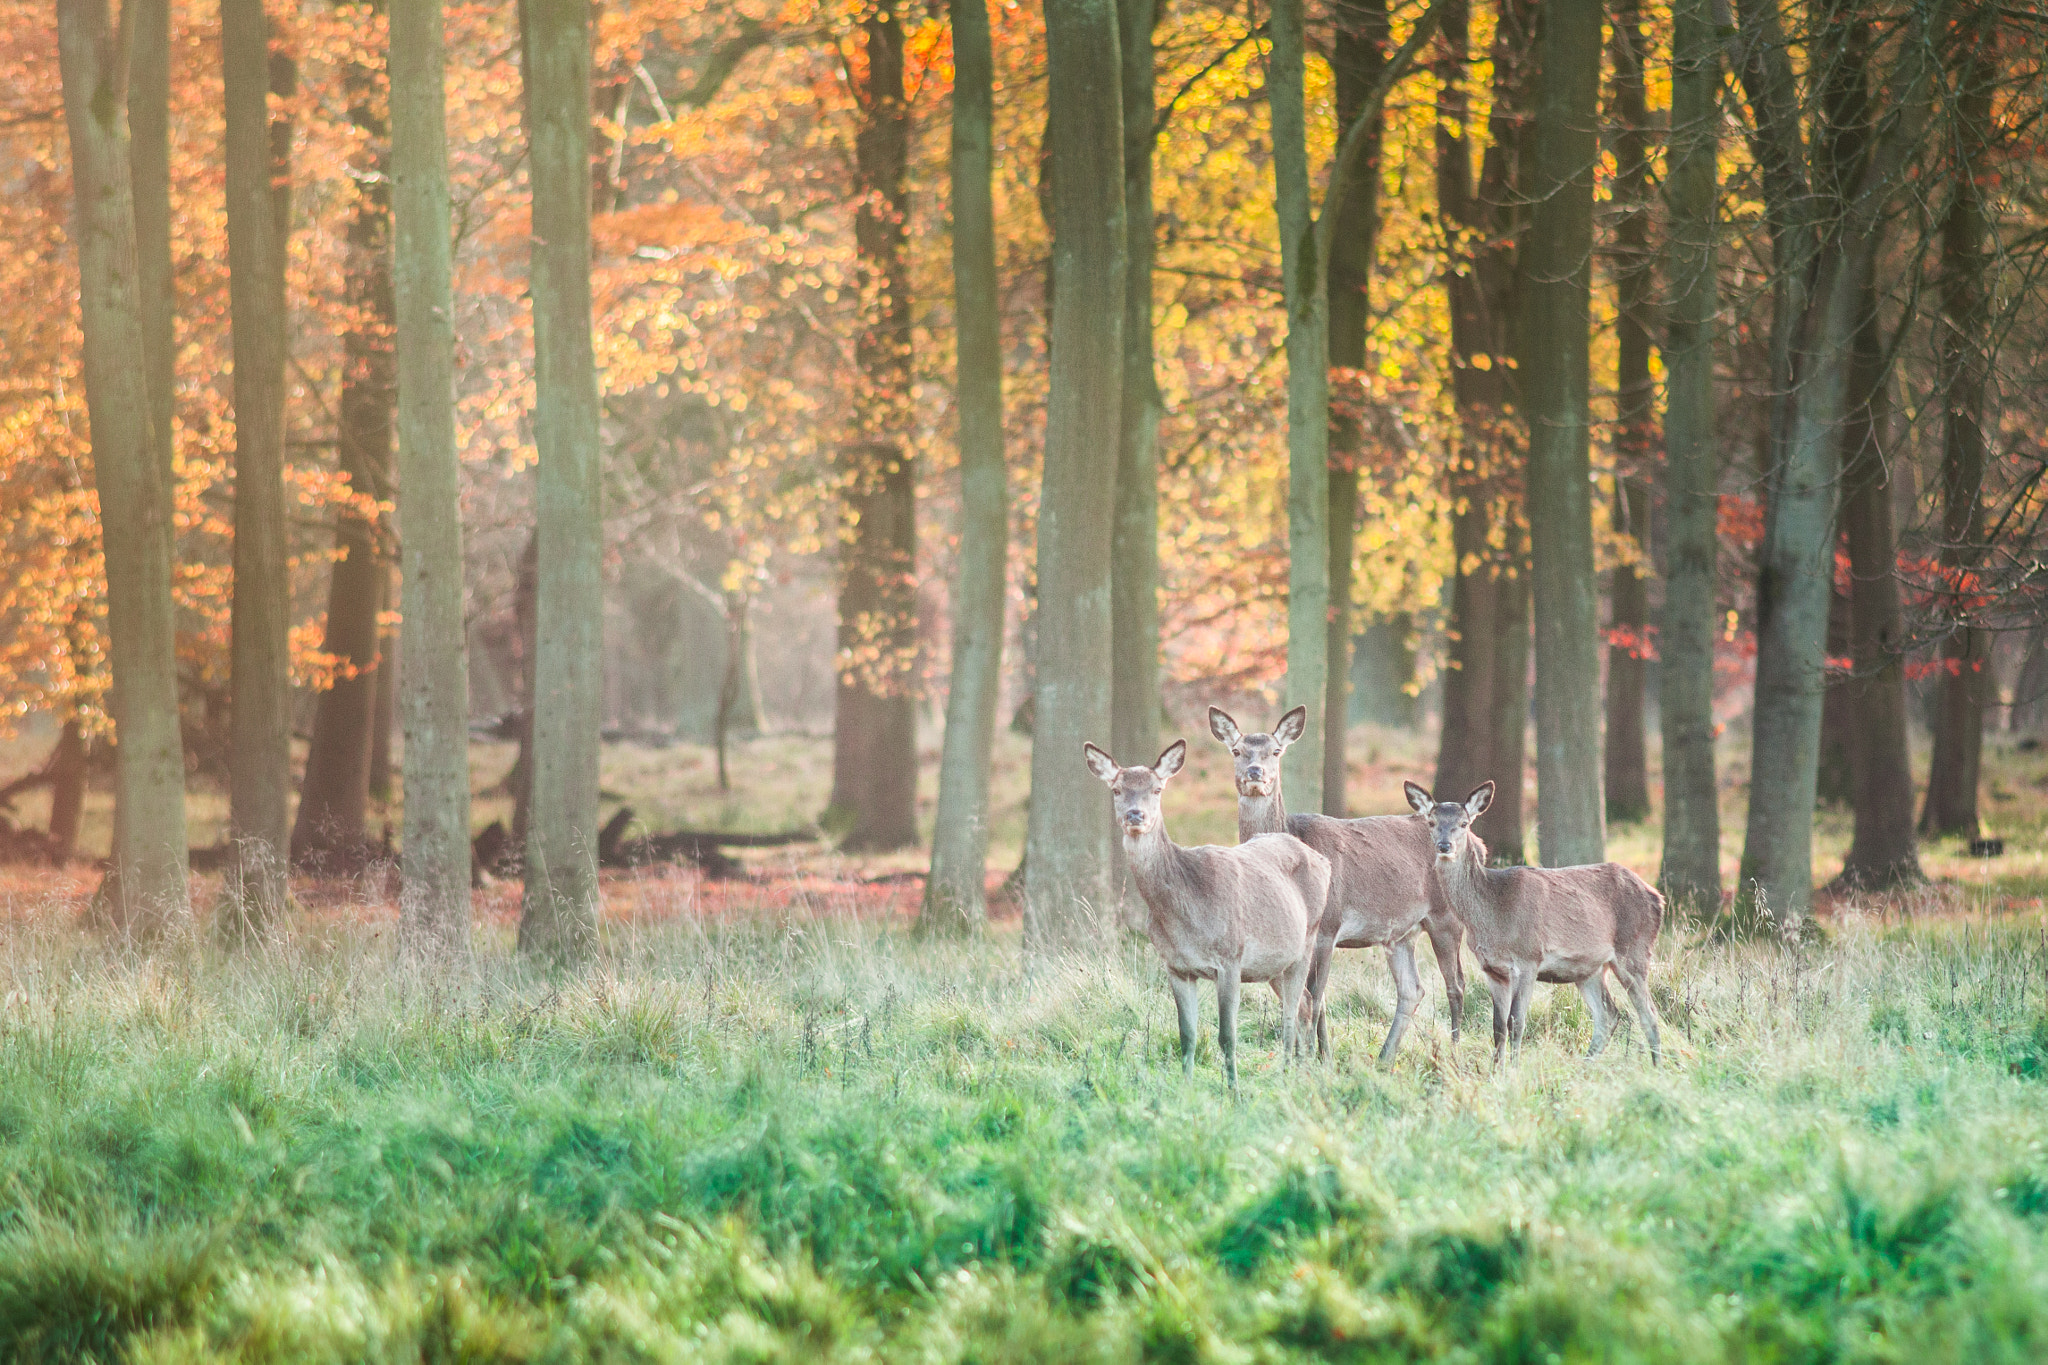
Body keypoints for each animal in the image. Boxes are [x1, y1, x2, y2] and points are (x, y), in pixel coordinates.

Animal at [1084, 739, 1332, 1096]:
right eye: (1116, 790)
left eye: (1157, 789)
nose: (1135, 815)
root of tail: (1323, 860)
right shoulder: (1176, 966)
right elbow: (1186, 1036)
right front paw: (1186, 1091)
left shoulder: (1230, 958)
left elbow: (1227, 1036)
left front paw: (1235, 1094)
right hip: (1274, 961)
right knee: (1305, 1004)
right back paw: (1302, 1071)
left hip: (1307, 941)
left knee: (1296, 1010)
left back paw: (1289, 1076)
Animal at [1208, 706, 1466, 1066]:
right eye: (1236, 750)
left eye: (1276, 751)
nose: (1255, 772)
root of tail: (1479, 844)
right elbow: (1311, 999)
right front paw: (1316, 1057)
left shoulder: (1327, 926)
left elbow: (1315, 999)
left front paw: (1318, 1061)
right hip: (1401, 933)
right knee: (1413, 989)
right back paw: (1384, 1059)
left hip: (1446, 917)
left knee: (1456, 985)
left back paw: (1454, 1054)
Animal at [1404, 780, 1663, 1067]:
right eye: (1431, 822)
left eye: (1464, 823)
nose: (1444, 845)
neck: (1493, 914)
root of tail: (1657, 898)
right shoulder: (1492, 969)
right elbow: (1497, 1027)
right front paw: (1496, 1070)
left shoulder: (1529, 959)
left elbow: (1516, 1022)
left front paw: (1514, 1070)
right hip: (1589, 969)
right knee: (1609, 1015)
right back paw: (1584, 1068)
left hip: (1633, 949)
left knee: (1650, 1015)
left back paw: (1656, 1069)